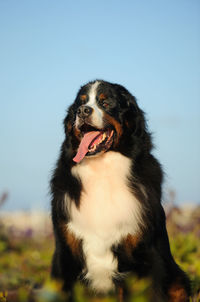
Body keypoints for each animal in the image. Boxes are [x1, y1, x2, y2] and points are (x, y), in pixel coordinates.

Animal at [50, 80, 191, 302]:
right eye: (80, 103)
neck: (101, 170)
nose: (82, 111)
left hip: (178, 281)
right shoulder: (65, 253)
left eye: (105, 102)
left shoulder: (145, 254)